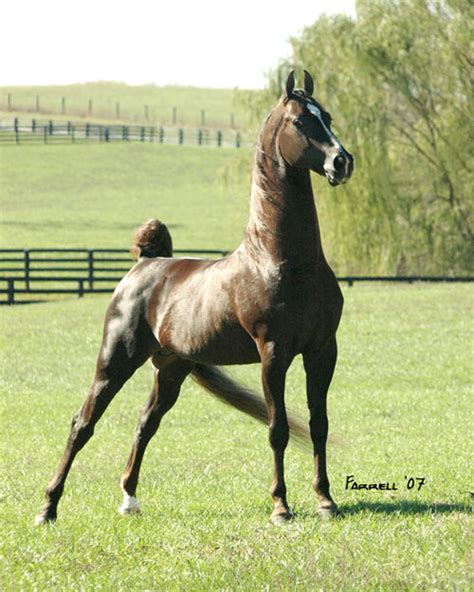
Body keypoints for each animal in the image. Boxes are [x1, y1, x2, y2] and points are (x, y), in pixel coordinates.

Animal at [36, 70, 352, 528]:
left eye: (326, 116)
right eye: (299, 121)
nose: (341, 162)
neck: (282, 260)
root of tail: (144, 264)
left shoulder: (322, 350)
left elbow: (319, 423)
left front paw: (326, 501)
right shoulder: (273, 353)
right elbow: (277, 428)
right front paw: (281, 506)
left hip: (171, 368)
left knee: (145, 423)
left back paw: (129, 499)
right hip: (115, 361)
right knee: (83, 423)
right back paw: (48, 507)